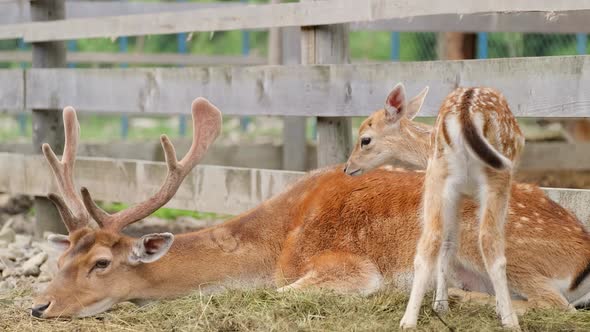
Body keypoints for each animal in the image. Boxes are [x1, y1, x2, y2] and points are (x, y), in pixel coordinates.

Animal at [346, 84, 528, 328]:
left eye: (365, 140)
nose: (347, 167)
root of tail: (465, 114)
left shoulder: (453, 193)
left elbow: (447, 244)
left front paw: (440, 305)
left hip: (438, 177)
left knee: (429, 241)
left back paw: (408, 320)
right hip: (497, 175)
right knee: (490, 242)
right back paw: (510, 320)